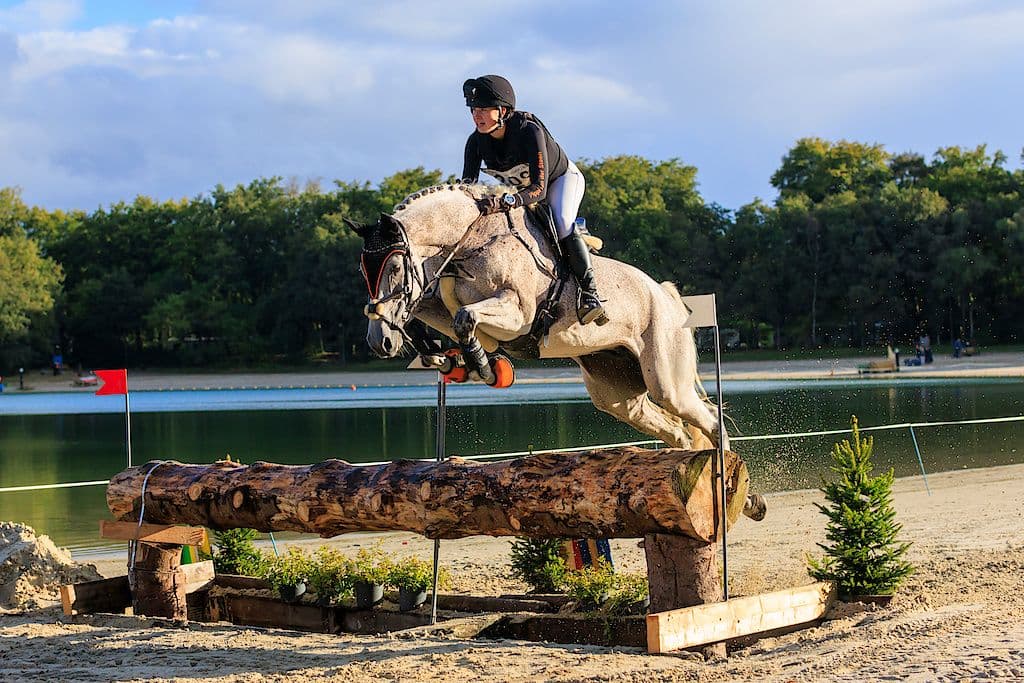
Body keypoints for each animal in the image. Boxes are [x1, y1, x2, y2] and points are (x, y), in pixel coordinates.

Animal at [346, 182, 730, 454]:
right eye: (363, 272)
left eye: (395, 268)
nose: (378, 343)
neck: (471, 241)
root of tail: (665, 294)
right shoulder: (443, 302)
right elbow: (432, 315)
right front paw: (445, 358)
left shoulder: (518, 313)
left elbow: (465, 318)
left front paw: (484, 369)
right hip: (616, 392)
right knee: (676, 432)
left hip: (666, 379)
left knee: (707, 417)